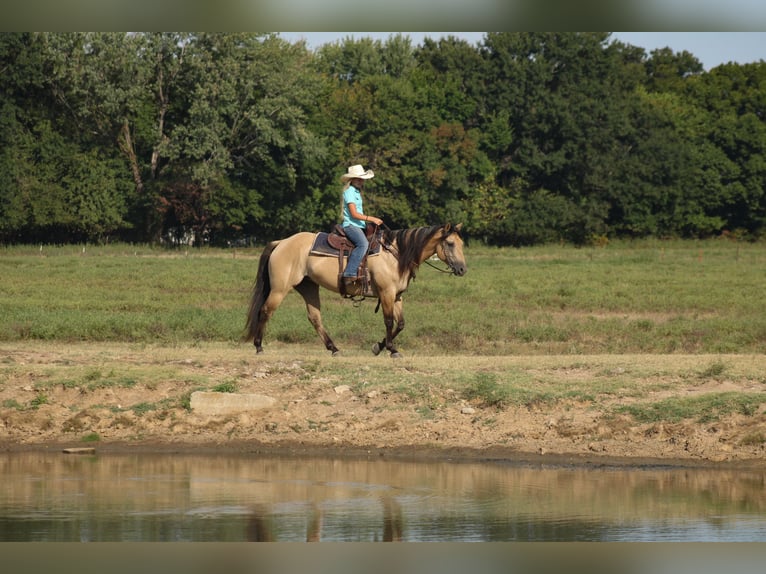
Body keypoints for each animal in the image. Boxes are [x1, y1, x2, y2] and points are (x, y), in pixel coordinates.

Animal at [244, 223, 467, 358]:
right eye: (450, 243)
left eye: (462, 243)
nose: (463, 269)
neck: (396, 255)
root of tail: (281, 242)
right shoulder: (386, 293)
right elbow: (388, 321)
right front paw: (391, 350)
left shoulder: (397, 296)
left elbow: (401, 324)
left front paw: (378, 347)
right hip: (279, 289)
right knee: (265, 311)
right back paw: (258, 346)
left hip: (308, 287)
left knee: (314, 317)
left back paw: (334, 349)